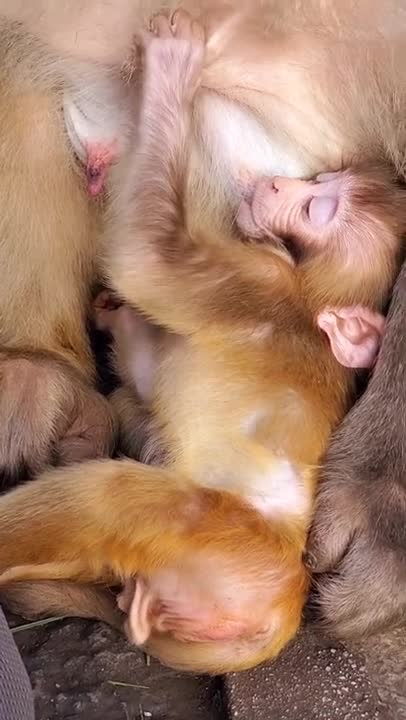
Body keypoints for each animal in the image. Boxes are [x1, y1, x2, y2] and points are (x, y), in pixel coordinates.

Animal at [0, 12, 403, 676]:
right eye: (322, 181)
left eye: (318, 206)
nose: (274, 187)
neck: (306, 293)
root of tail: (279, 612)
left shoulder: (258, 285)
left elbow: (147, 261)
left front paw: (171, 73)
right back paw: (40, 376)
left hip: (213, 537)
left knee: (112, 499)